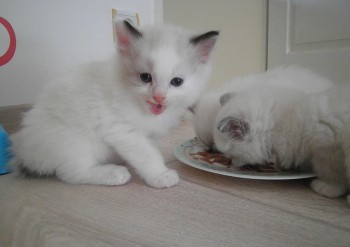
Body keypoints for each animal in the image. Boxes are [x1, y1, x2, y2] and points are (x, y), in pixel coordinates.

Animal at [11, 21, 219, 188]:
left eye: (176, 82)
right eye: (145, 78)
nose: (159, 97)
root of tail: (24, 152)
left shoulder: (148, 135)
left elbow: (148, 151)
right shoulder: (122, 130)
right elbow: (147, 155)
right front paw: (160, 175)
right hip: (74, 143)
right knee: (73, 174)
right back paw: (114, 173)